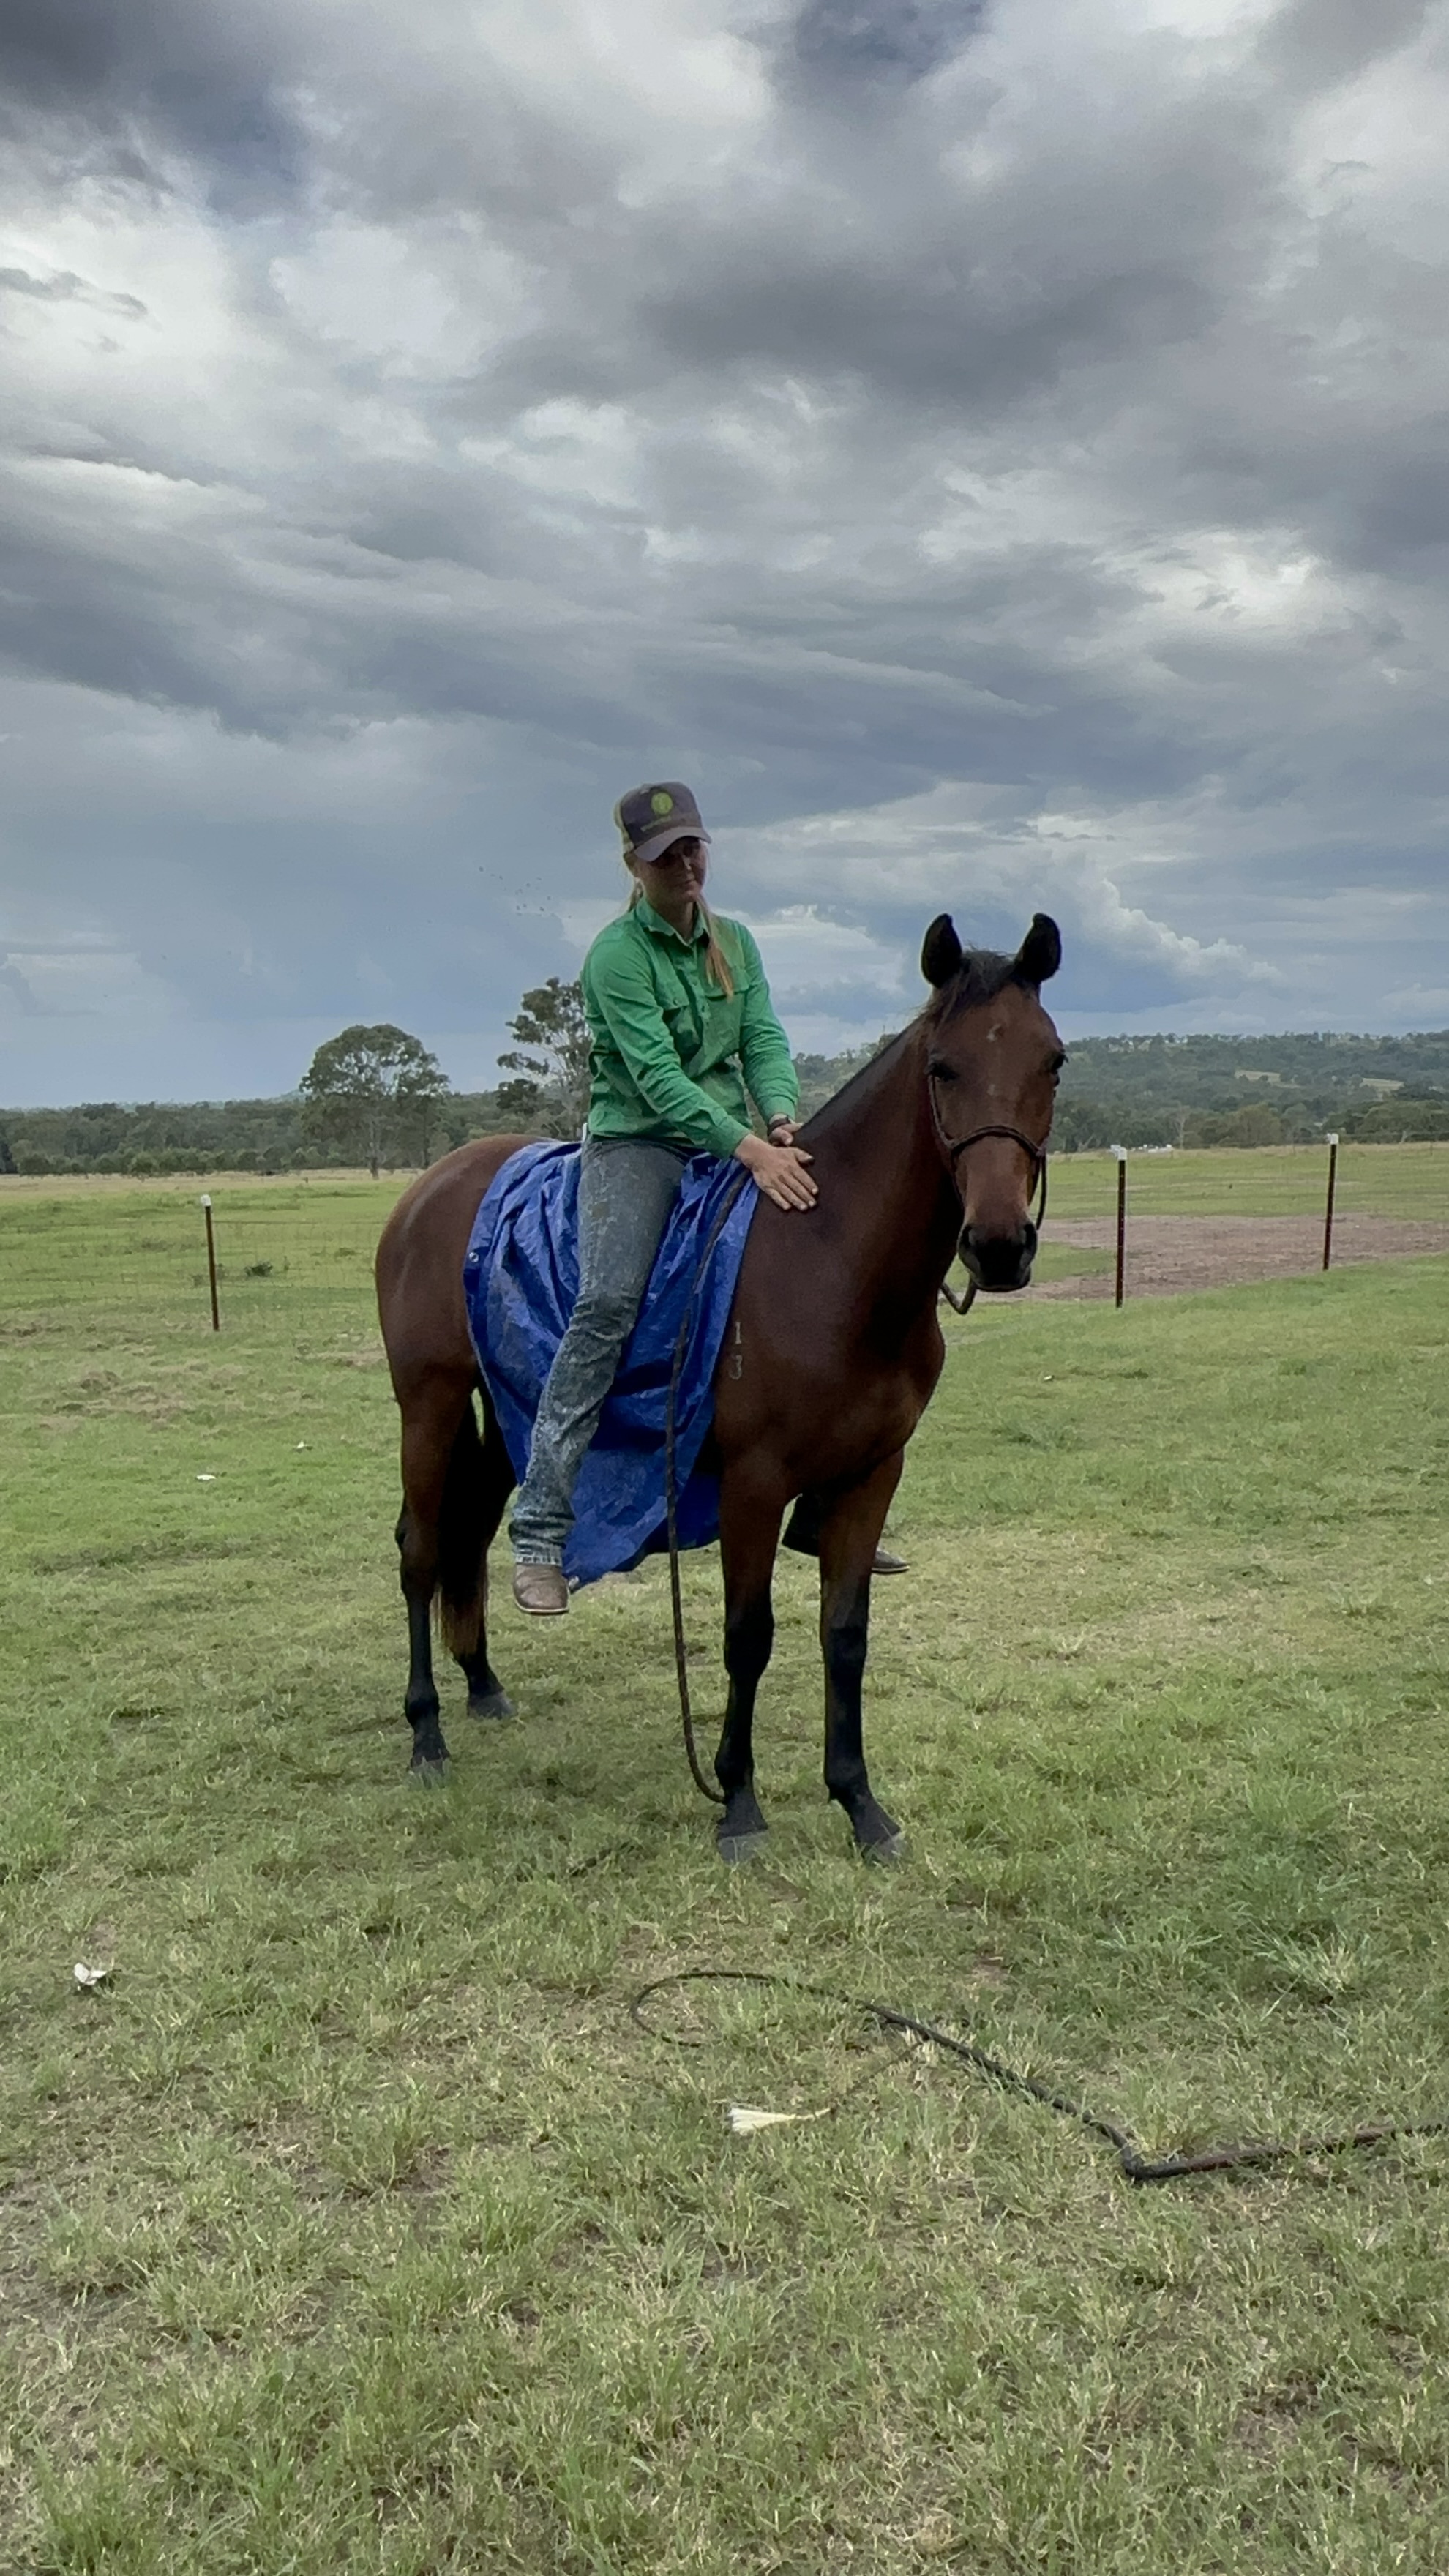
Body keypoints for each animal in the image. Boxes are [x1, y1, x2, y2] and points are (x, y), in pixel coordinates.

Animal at [375, 910, 1064, 1859]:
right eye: (943, 1067)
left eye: (1051, 1062)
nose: (998, 1246)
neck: (829, 1260)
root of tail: (431, 1187)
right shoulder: (753, 1483)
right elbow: (749, 1637)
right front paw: (737, 1801)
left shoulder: (871, 1475)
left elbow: (844, 1636)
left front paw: (859, 1802)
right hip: (430, 1405)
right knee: (419, 1551)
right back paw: (427, 1733)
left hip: (507, 1414)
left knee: (467, 1534)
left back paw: (481, 1683)